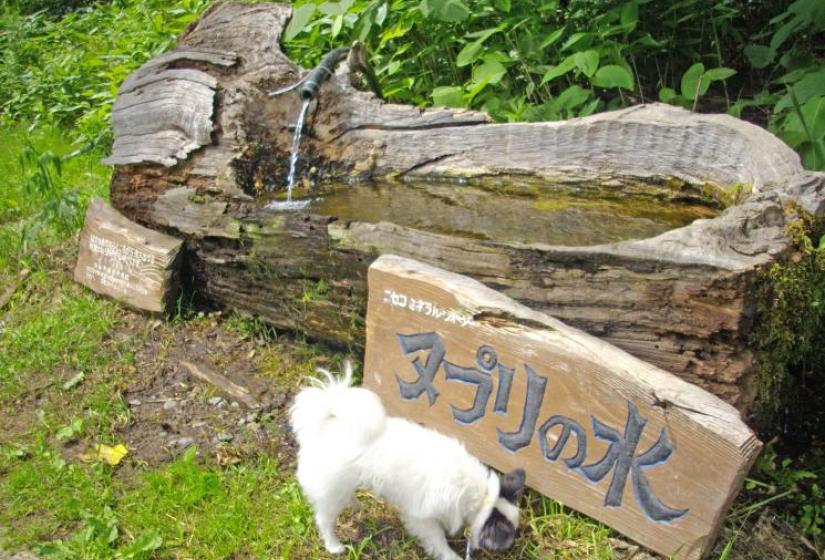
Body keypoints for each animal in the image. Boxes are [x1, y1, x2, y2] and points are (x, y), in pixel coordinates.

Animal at [290, 364, 520, 560]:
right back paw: (334, 546)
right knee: (324, 520)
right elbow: (437, 540)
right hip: (332, 491)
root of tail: (326, 424)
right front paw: (450, 555)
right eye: (508, 534)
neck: (482, 496)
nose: (513, 544)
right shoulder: (422, 517)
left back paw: (355, 504)